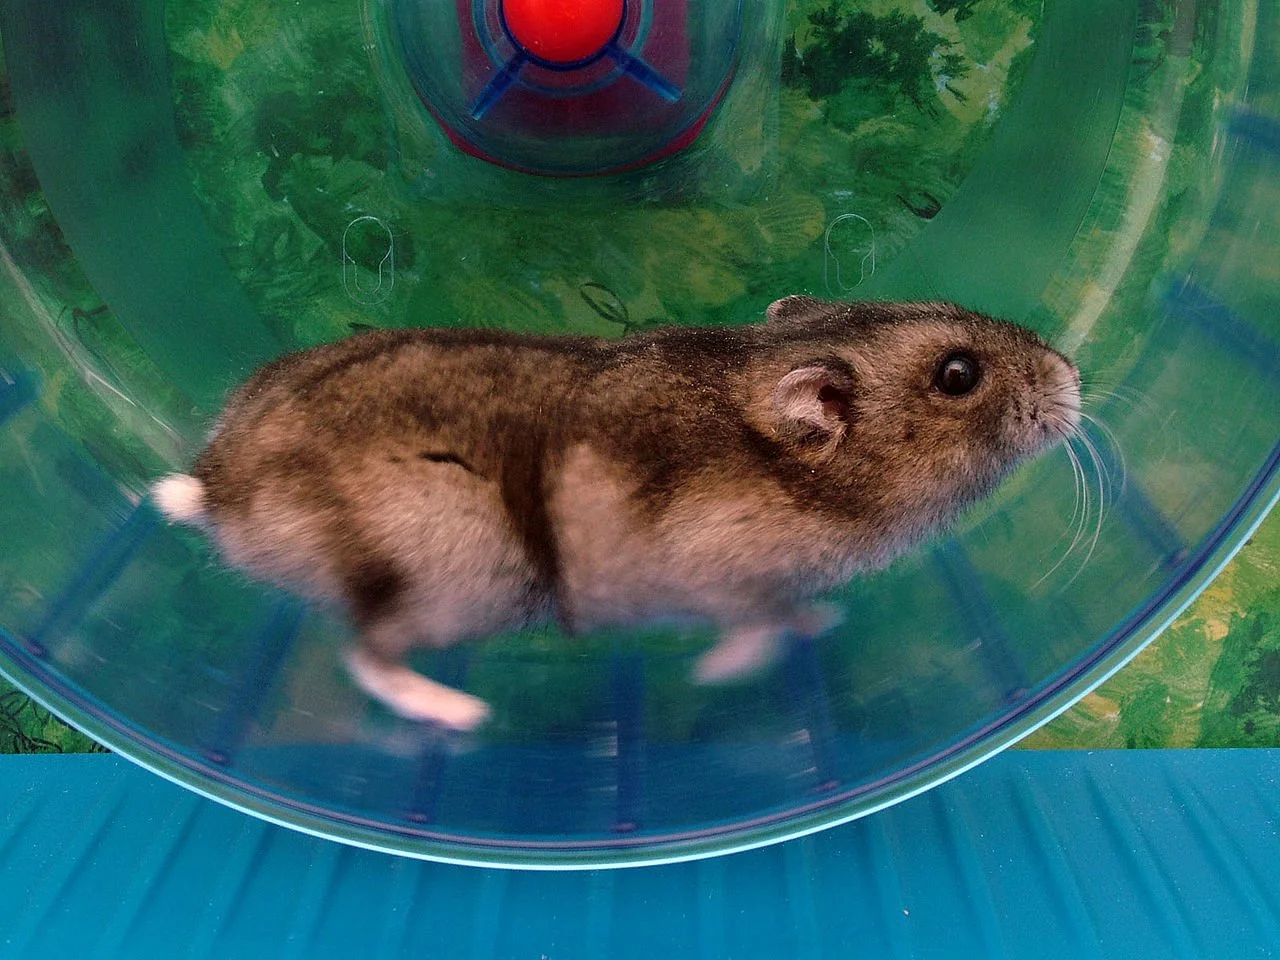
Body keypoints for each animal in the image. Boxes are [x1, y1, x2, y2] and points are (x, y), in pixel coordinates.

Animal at [152, 297, 1081, 731]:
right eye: (958, 376)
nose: (1074, 375)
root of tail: (216, 486)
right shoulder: (720, 573)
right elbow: (757, 625)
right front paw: (719, 674)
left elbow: (792, 611)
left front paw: (824, 620)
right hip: (452, 574)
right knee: (366, 656)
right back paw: (465, 713)